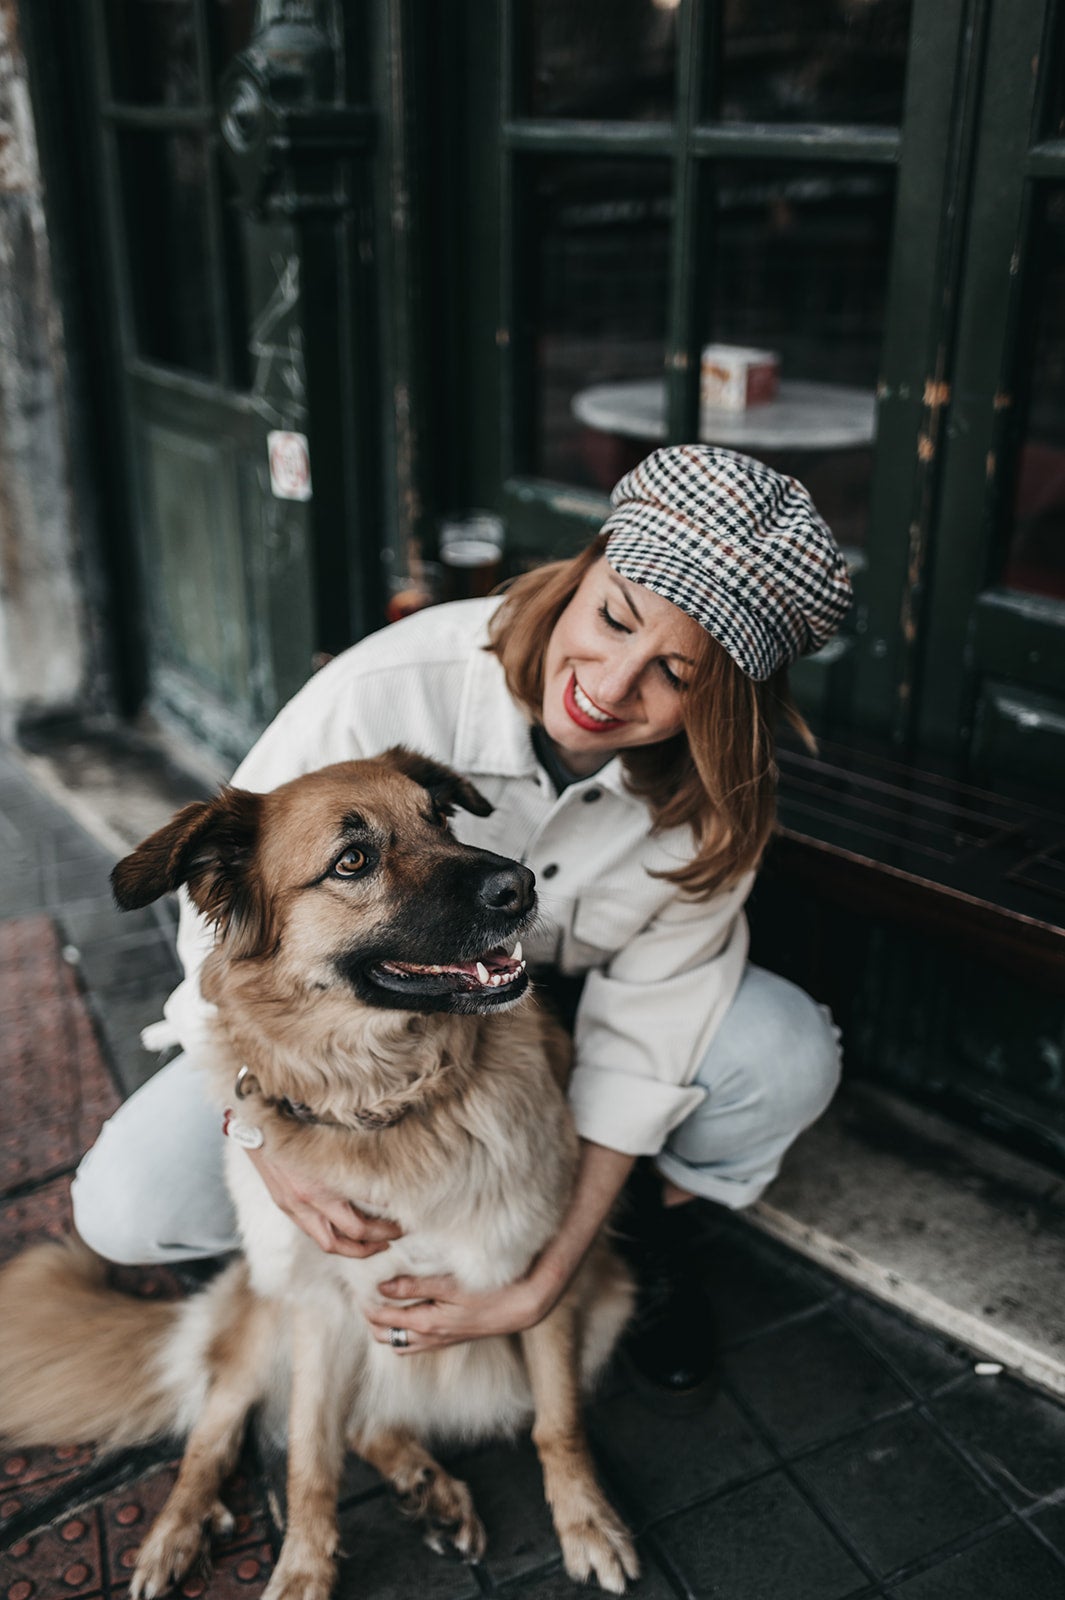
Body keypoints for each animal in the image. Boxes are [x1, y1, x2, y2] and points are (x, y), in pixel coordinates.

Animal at [0, 748, 633, 1600]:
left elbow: (557, 1421)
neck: (389, 1102)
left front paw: (586, 1521)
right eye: (352, 861)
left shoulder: (535, 1273)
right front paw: (301, 1570)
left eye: (440, 820)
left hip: (604, 1303)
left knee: (368, 1421)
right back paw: (175, 1532)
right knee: (217, 1428)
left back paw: (427, 1486)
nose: (521, 885)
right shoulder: (319, 1309)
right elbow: (307, 1459)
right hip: (266, 1316)